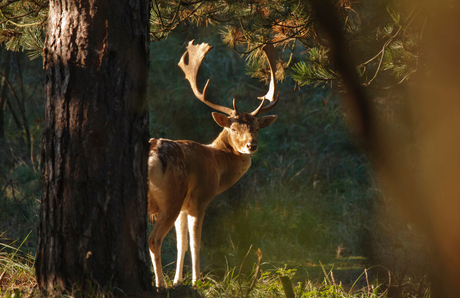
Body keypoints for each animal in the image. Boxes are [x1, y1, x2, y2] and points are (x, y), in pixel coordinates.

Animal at [147, 40, 278, 288]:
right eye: (233, 128)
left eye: (257, 127)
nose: (251, 145)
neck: (216, 161)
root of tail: (151, 158)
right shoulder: (199, 199)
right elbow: (195, 244)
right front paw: (196, 281)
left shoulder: (184, 208)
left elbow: (181, 244)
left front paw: (178, 280)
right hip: (172, 195)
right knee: (154, 239)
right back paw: (159, 284)